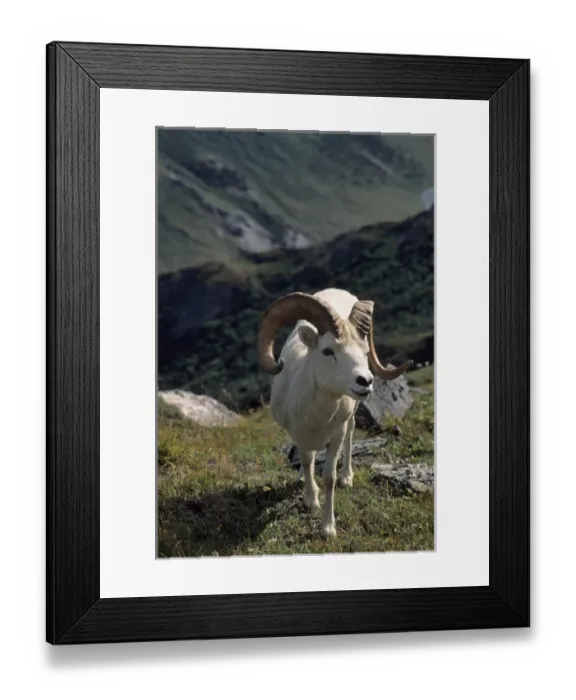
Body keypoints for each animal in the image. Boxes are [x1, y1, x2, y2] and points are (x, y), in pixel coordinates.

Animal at [256, 288, 412, 538]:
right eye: (328, 351)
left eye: (365, 353)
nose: (365, 381)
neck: (316, 417)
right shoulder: (299, 436)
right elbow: (307, 462)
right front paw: (311, 499)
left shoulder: (335, 437)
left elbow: (329, 478)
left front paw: (328, 529)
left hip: (350, 420)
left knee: (350, 436)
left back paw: (347, 477)